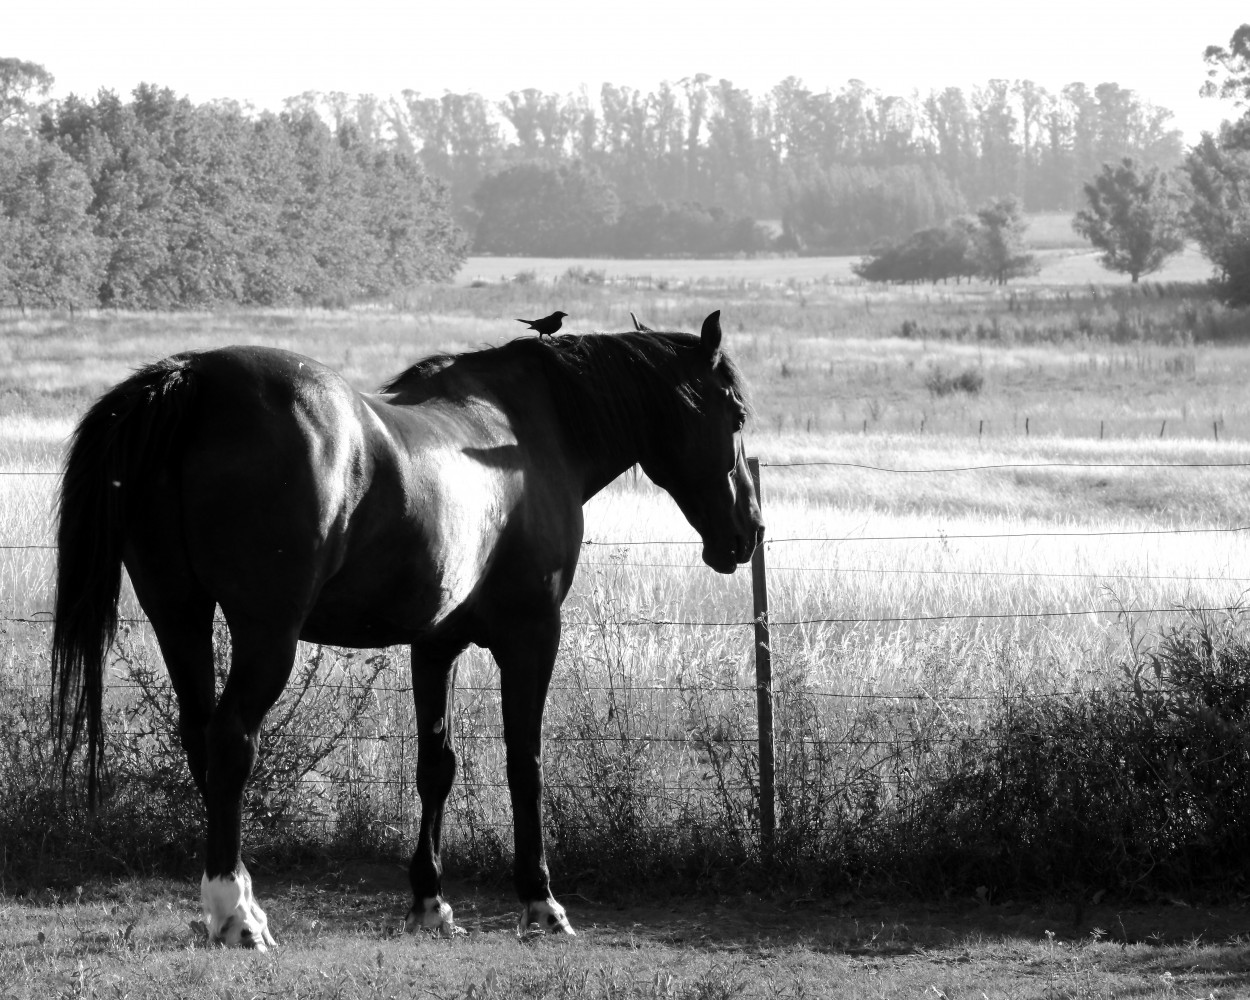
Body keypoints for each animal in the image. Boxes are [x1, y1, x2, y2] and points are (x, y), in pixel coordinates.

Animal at [51, 308, 760, 950]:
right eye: (736, 415)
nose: (747, 532)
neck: (530, 436)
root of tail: (195, 378)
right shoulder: (532, 636)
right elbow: (524, 762)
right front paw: (541, 902)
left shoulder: (435, 643)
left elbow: (435, 766)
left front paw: (429, 902)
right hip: (265, 633)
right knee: (230, 742)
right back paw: (238, 915)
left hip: (180, 615)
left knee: (199, 737)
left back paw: (240, 897)